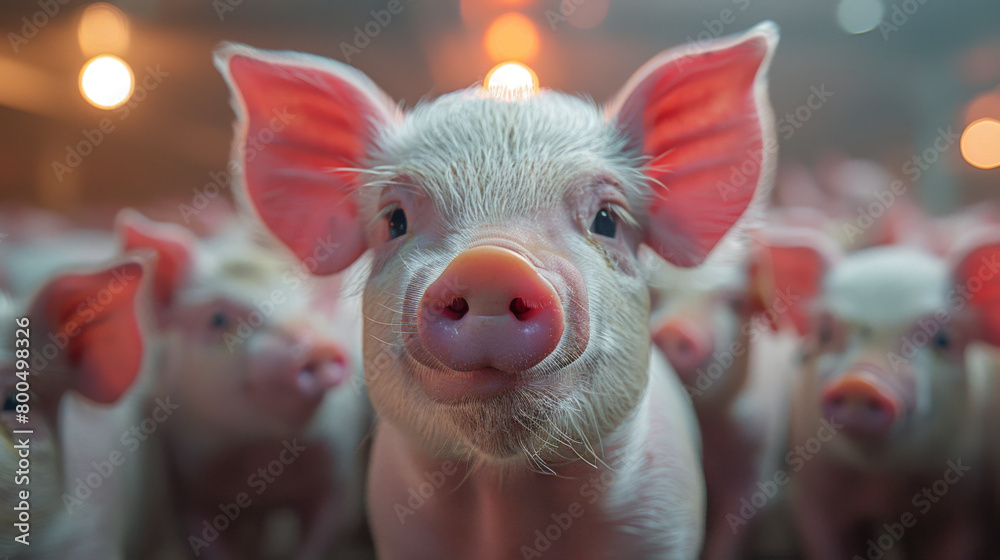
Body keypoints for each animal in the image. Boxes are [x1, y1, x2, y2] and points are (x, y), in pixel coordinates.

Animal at [760, 229, 1000, 560]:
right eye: (824, 333)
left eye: (943, 340)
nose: (860, 382)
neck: (883, 481)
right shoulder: (815, 496)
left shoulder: (965, 506)